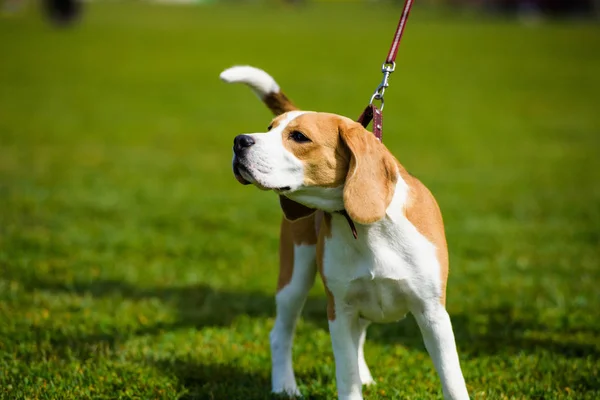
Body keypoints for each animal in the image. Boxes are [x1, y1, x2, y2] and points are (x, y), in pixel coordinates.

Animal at [219, 66, 468, 400]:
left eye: (299, 137)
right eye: (269, 128)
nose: (239, 141)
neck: (369, 229)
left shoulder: (433, 313)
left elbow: (452, 379)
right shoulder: (339, 310)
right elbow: (346, 374)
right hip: (294, 280)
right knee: (280, 334)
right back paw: (285, 386)